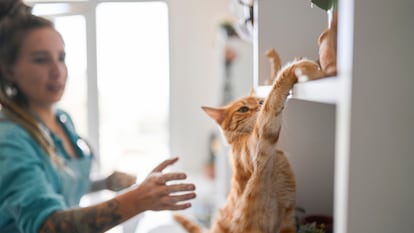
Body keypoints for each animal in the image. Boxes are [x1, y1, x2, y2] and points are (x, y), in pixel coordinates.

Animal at [173, 51, 326, 233]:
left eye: (260, 102)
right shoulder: (260, 140)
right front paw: (298, 66)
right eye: (243, 109)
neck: (274, 156)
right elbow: (274, 98)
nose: (259, 106)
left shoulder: (287, 220)